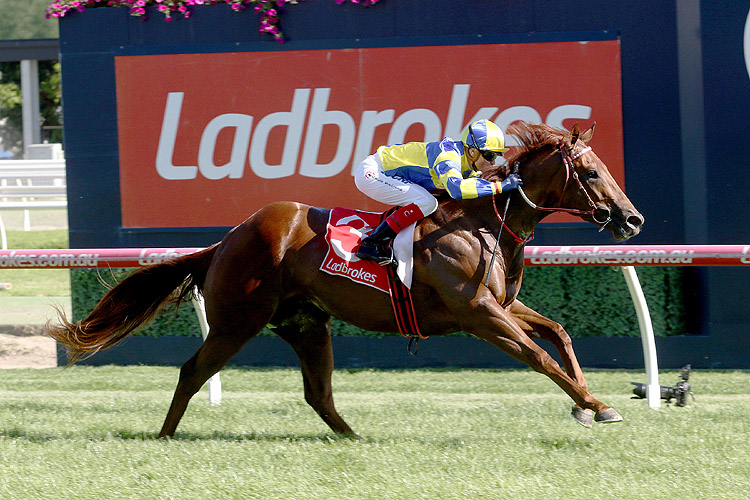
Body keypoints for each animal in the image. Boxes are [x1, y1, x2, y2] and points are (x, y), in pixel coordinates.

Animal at [48, 121, 648, 438]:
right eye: (591, 172)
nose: (633, 219)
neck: (482, 221)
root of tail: (228, 239)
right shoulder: (478, 313)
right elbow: (539, 354)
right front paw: (597, 405)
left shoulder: (501, 306)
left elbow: (558, 334)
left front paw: (588, 402)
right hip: (237, 321)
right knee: (193, 370)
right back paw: (166, 434)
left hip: (306, 323)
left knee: (317, 391)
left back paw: (354, 436)